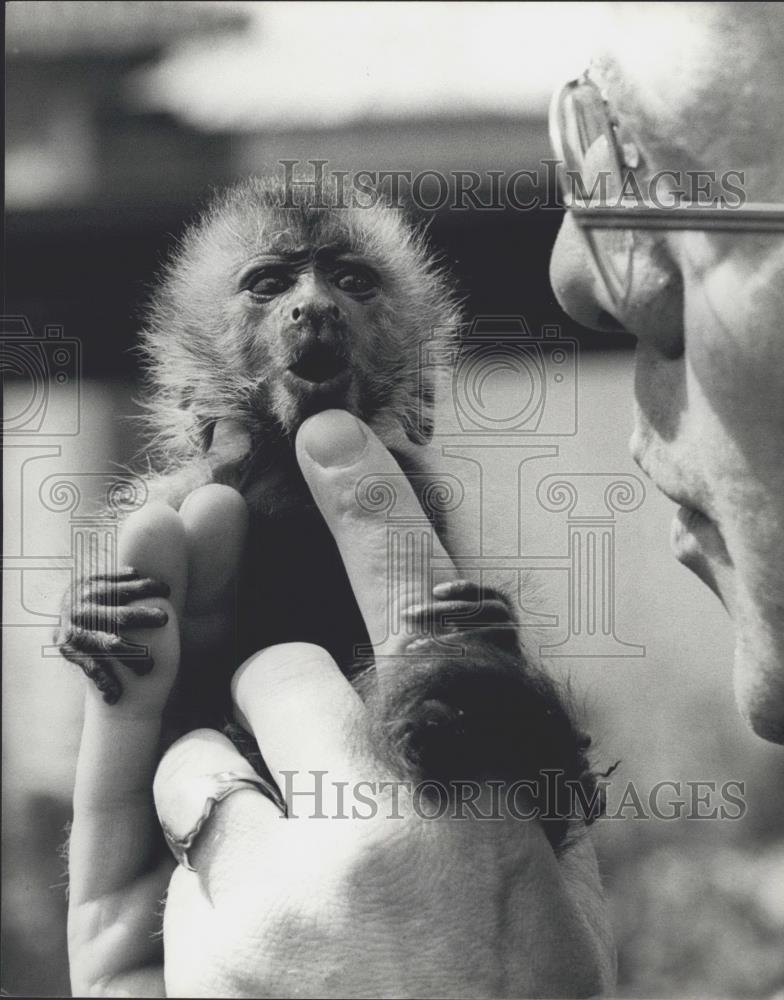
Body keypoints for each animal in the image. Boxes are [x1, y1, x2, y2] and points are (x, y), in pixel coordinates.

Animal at [56, 178, 608, 852]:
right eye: (269, 285)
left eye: (351, 281)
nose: (316, 309)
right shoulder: (201, 483)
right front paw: (82, 611)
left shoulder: (418, 482)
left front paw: (490, 632)